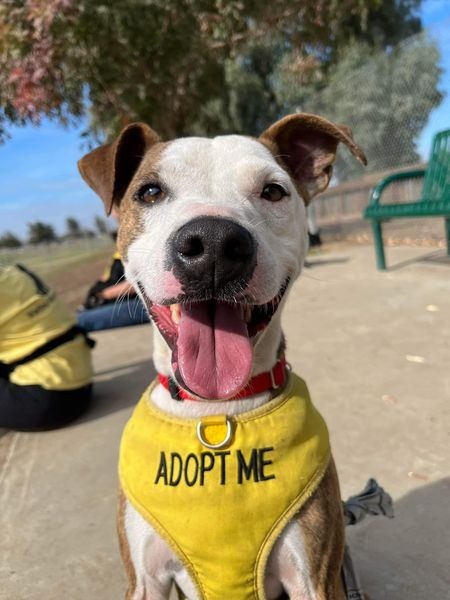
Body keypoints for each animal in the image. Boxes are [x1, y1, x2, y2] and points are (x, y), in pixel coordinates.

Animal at [77, 113, 366, 600]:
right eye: (149, 192)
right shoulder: (145, 581)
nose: (213, 243)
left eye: (273, 191)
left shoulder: (316, 580)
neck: (216, 409)